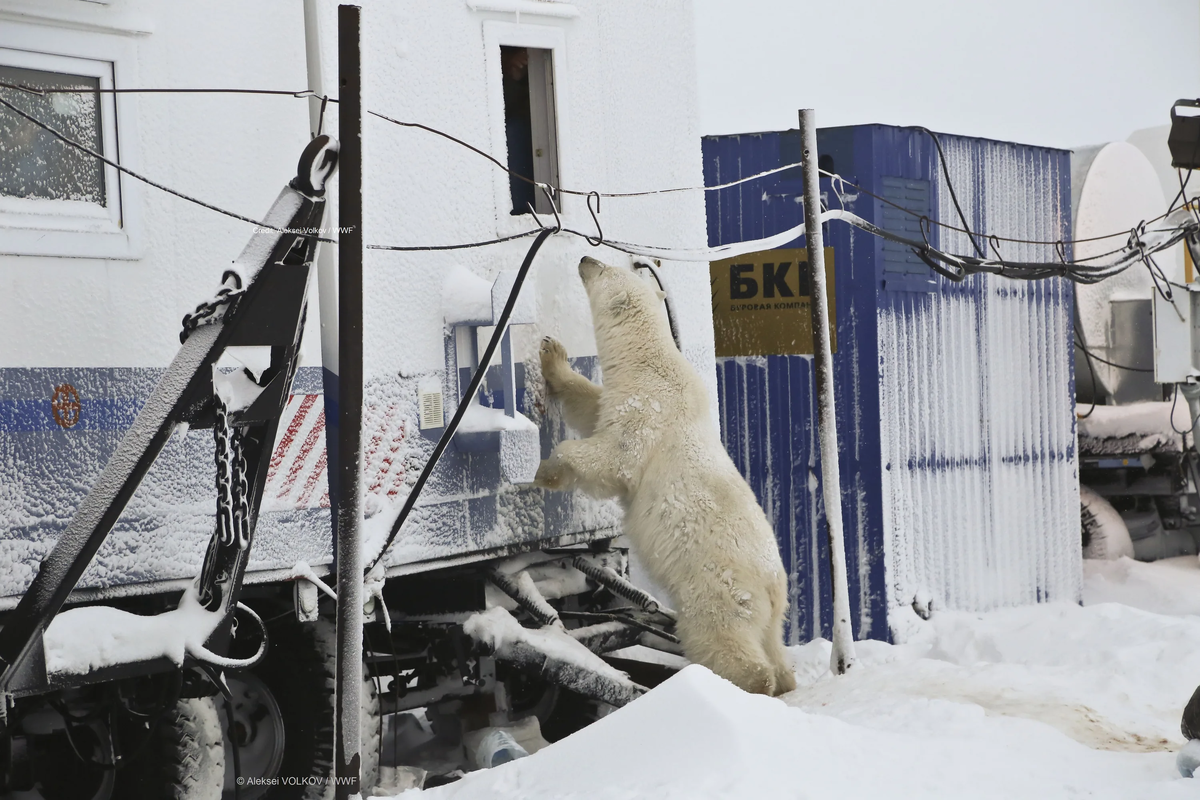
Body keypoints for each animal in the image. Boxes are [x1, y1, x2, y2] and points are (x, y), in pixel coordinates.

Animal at [537, 256, 796, 695]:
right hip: (765, 612)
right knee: (773, 645)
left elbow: (614, 459)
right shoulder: (621, 396)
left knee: (723, 636)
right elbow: (589, 406)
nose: (586, 258)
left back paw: (739, 682)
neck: (650, 361)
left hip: (717, 586)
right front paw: (552, 355)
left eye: (604, 268)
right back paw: (785, 680)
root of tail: (774, 588)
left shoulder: (648, 411)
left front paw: (546, 471)